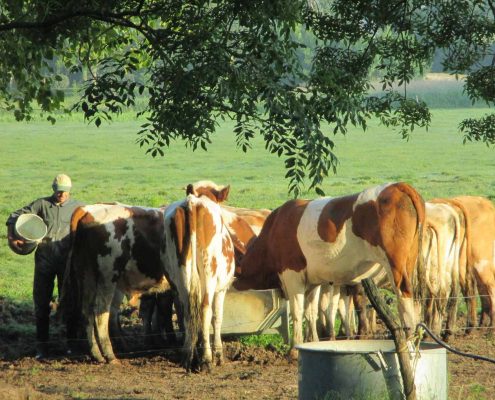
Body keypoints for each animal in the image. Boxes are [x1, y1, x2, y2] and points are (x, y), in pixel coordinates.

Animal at [234, 181, 424, 356]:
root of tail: (397, 186)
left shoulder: (292, 274)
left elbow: (298, 312)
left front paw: (294, 349)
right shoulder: (312, 281)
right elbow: (311, 312)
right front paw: (313, 342)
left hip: (395, 266)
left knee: (404, 298)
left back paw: (407, 342)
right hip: (409, 262)